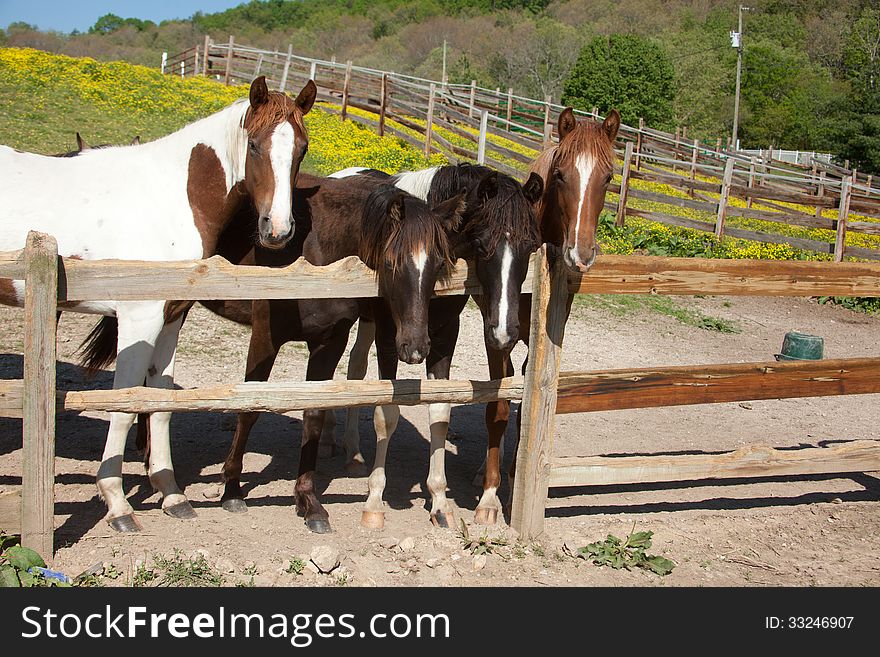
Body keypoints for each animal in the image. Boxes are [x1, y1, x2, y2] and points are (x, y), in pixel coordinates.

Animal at [0, 74, 316, 532]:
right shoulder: (139, 320)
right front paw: (117, 504)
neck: (170, 197)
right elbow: (126, 403)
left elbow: (160, 403)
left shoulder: (170, 320)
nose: (277, 230)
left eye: (302, 148)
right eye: (254, 145)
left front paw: (171, 493)